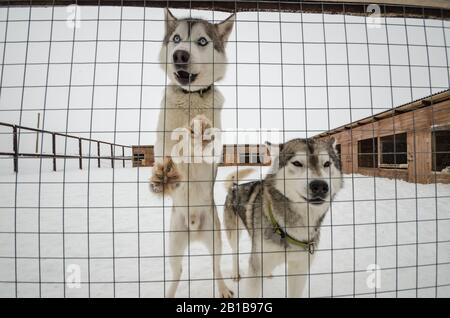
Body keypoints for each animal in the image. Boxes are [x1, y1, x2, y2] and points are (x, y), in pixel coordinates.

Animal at [150, 9, 236, 298]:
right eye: (176, 38)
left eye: (202, 41)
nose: (180, 55)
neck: (190, 98)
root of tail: (194, 229)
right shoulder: (161, 145)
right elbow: (170, 151)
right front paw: (166, 174)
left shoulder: (214, 151)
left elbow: (205, 146)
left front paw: (198, 133)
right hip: (174, 244)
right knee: (177, 273)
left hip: (215, 238)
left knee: (216, 267)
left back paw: (223, 289)